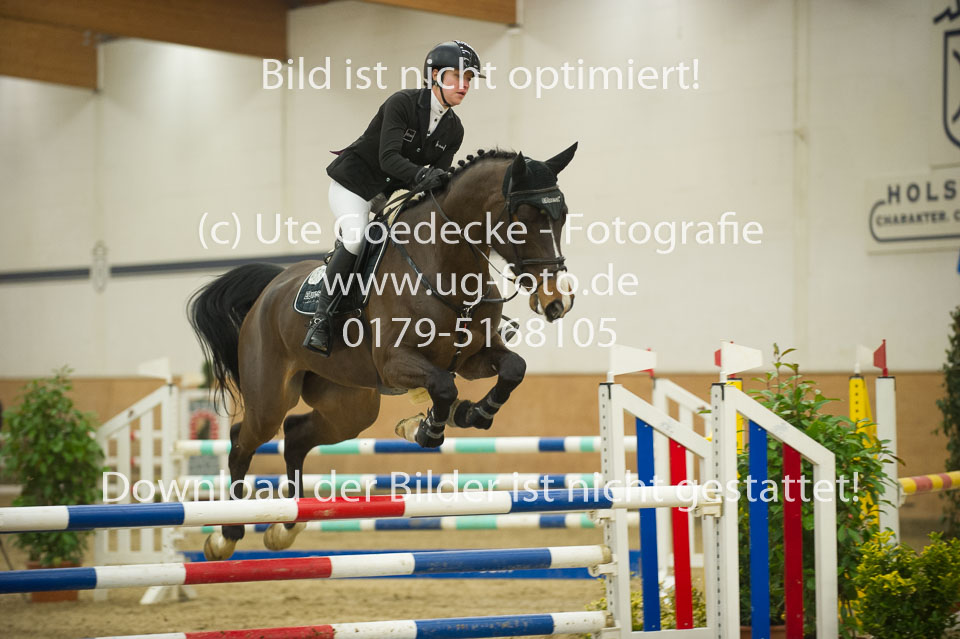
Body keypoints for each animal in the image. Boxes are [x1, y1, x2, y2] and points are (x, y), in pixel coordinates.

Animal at [188, 143, 579, 560]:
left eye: (562, 216)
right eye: (523, 219)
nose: (558, 301)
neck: (445, 264)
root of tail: (270, 289)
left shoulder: (473, 358)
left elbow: (513, 369)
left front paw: (474, 413)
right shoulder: (396, 363)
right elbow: (444, 386)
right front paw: (428, 428)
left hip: (349, 407)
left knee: (295, 436)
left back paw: (286, 527)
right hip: (270, 398)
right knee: (242, 440)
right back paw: (226, 535)